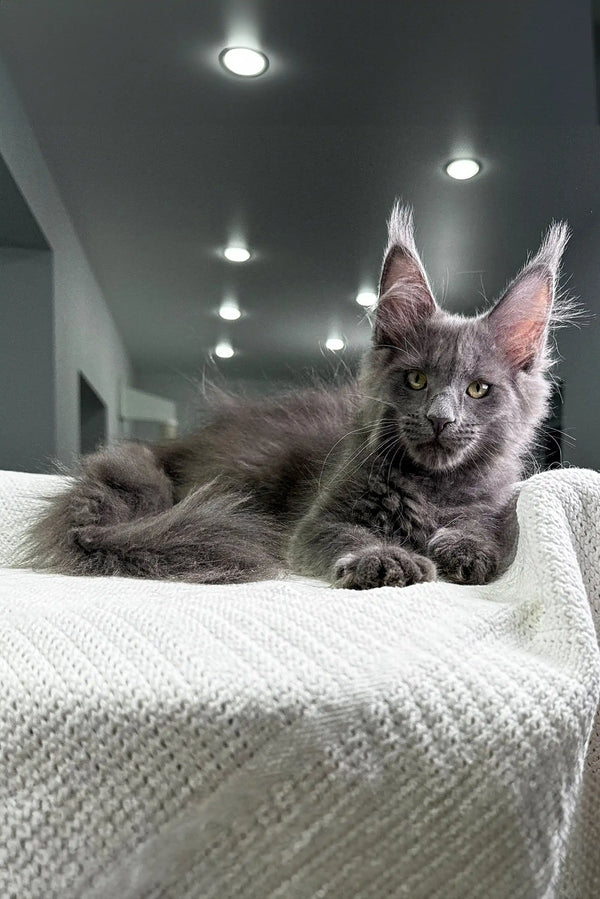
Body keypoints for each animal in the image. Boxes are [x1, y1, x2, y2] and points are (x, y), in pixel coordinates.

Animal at [23, 207, 568, 596]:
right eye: (416, 380)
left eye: (478, 389)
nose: (440, 418)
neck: (433, 488)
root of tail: (170, 449)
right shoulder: (317, 520)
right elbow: (345, 535)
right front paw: (384, 558)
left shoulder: (495, 504)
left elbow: (483, 528)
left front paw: (465, 550)